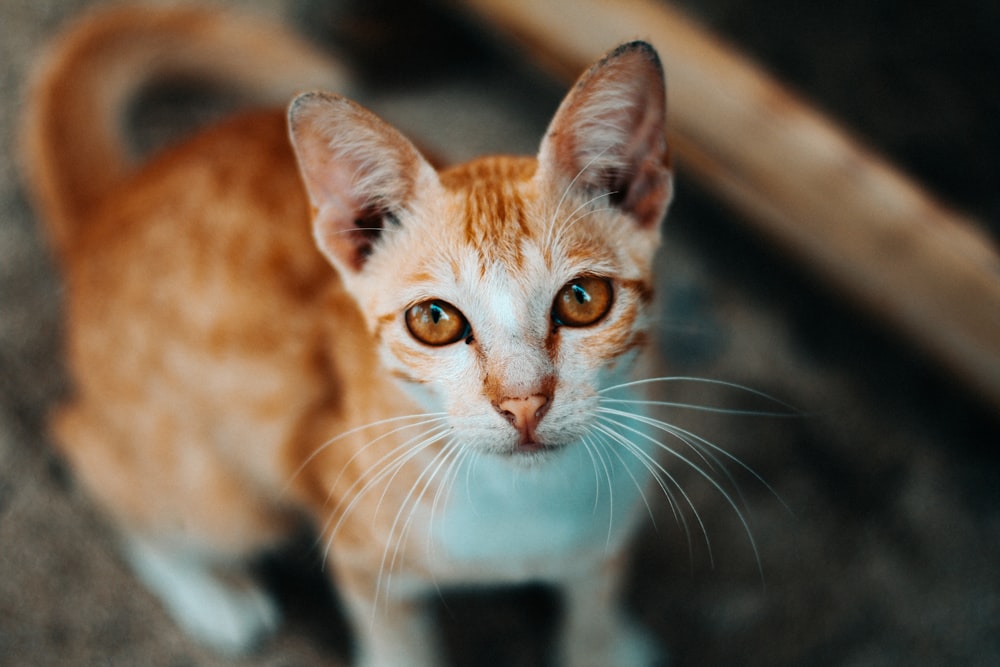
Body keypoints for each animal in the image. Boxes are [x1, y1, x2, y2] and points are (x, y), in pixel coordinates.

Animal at [23, 5, 676, 667]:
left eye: (582, 300)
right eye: (435, 320)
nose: (523, 404)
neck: (528, 502)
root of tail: (111, 207)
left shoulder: (612, 522)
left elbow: (594, 591)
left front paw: (602, 645)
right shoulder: (358, 547)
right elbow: (397, 645)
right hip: (217, 491)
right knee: (92, 454)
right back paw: (214, 593)